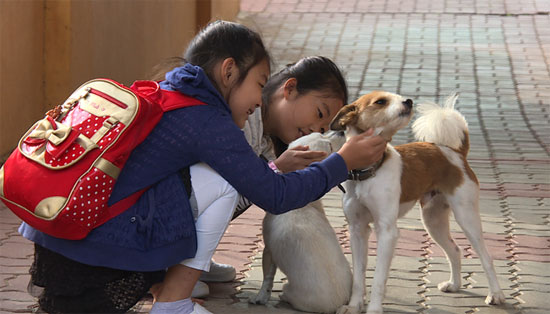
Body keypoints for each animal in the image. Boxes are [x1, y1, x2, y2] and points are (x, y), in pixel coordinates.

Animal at [250, 131, 354, 312]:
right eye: (325, 137)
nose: (341, 131)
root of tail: (338, 304)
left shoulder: (268, 250)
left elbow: (267, 278)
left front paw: (260, 297)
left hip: (290, 289)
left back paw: (283, 297)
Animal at [328, 91, 508, 314]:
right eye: (381, 102)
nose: (408, 101)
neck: (368, 173)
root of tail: (456, 153)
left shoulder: (387, 231)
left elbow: (378, 278)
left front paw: (374, 309)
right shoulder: (357, 230)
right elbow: (359, 277)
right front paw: (354, 306)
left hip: (466, 217)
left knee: (486, 257)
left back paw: (496, 294)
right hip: (433, 221)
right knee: (455, 250)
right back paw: (455, 284)